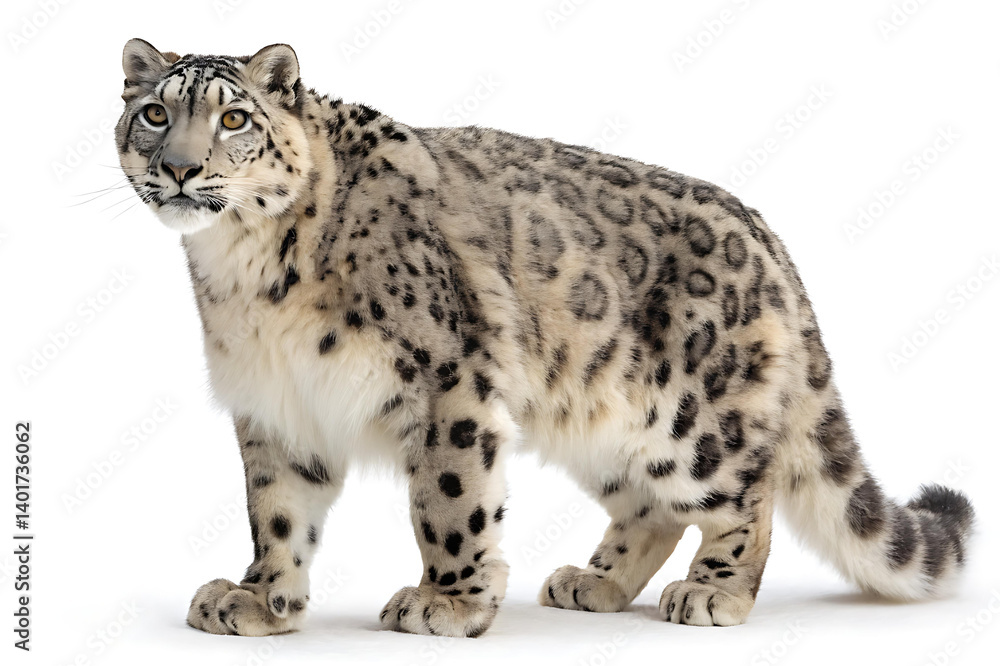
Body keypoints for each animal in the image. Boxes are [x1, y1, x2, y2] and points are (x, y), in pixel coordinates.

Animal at [114, 39, 975, 638]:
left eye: (234, 118)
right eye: (156, 113)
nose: (182, 169)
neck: (246, 277)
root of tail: (767, 239)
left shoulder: (448, 380)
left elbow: (449, 497)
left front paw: (448, 603)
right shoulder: (277, 403)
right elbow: (278, 511)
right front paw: (259, 599)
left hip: (696, 422)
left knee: (746, 495)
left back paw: (712, 591)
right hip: (606, 422)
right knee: (652, 507)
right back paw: (594, 583)